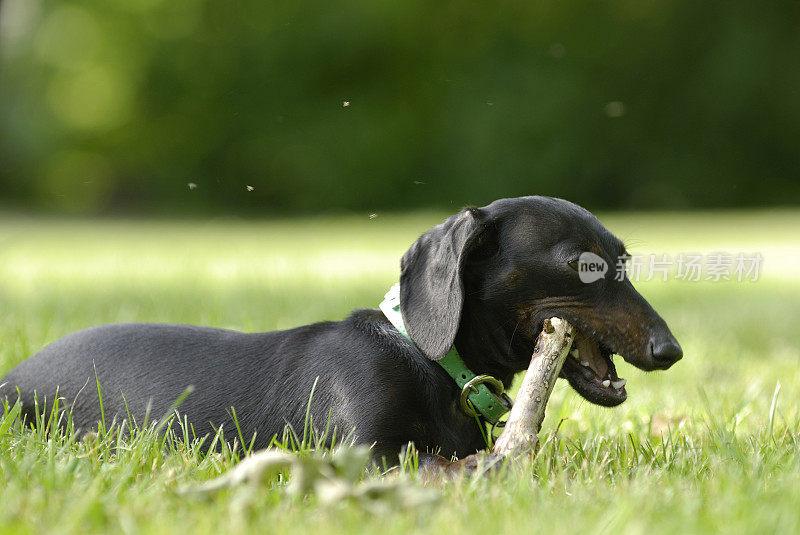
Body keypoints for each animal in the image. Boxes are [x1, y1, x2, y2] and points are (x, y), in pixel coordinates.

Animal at [0, 198, 680, 474]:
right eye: (585, 265)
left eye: (623, 260)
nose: (669, 350)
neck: (429, 363)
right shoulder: (366, 454)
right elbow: (439, 463)